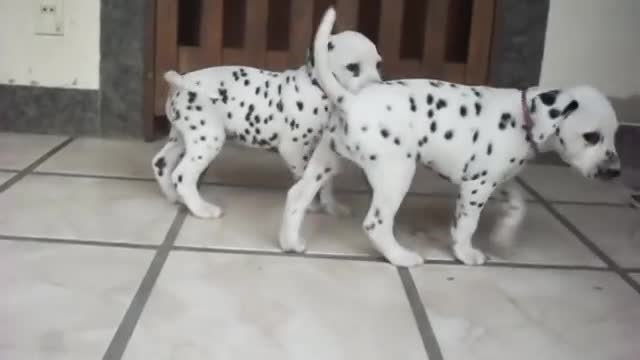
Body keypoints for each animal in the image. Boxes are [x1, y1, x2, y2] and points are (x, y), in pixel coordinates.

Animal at [151, 29, 380, 218]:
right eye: (353, 67)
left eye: (378, 64)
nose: (377, 88)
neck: (317, 87)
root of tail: (181, 81)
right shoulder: (294, 149)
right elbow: (305, 177)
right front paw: (312, 205)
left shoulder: (323, 151)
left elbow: (326, 182)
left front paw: (332, 206)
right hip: (208, 138)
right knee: (183, 176)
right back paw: (202, 209)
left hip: (181, 137)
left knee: (161, 163)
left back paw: (174, 197)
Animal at [278, 7, 620, 268]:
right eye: (591, 137)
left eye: (614, 134)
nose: (615, 172)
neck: (523, 117)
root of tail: (351, 100)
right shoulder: (477, 186)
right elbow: (467, 224)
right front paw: (466, 253)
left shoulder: (498, 178)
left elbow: (518, 204)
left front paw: (504, 236)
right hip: (396, 173)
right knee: (375, 224)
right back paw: (401, 257)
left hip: (325, 162)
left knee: (297, 196)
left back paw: (290, 241)